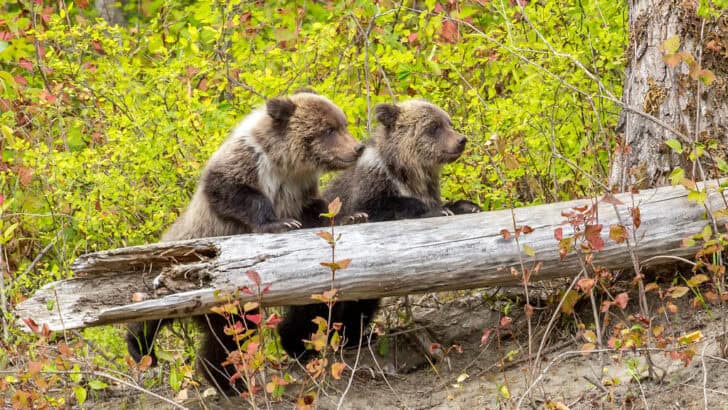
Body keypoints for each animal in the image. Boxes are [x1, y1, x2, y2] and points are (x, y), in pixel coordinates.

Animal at [125, 89, 364, 395]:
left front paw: (352, 216)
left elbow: (319, 211)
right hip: (181, 268)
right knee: (157, 313)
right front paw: (279, 223)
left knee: (229, 334)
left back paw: (227, 379)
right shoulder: (247, 165)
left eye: (342, 123)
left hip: (225, 306)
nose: (357, 147)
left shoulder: (300, 190)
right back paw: (141, 348)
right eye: (329, 130)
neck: (286, 165)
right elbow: (232, 190)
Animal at [277, 99, 481, 363]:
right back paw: (298, 346)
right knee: (312, 309)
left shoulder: (428, 188)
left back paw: (358, 337)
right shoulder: (370, 191)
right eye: (434, 127)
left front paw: (467, 206)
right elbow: (381, 209)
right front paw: (436, 211)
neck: (409, 172)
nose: (461, 139)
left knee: (360, 305)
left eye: (448, 122)